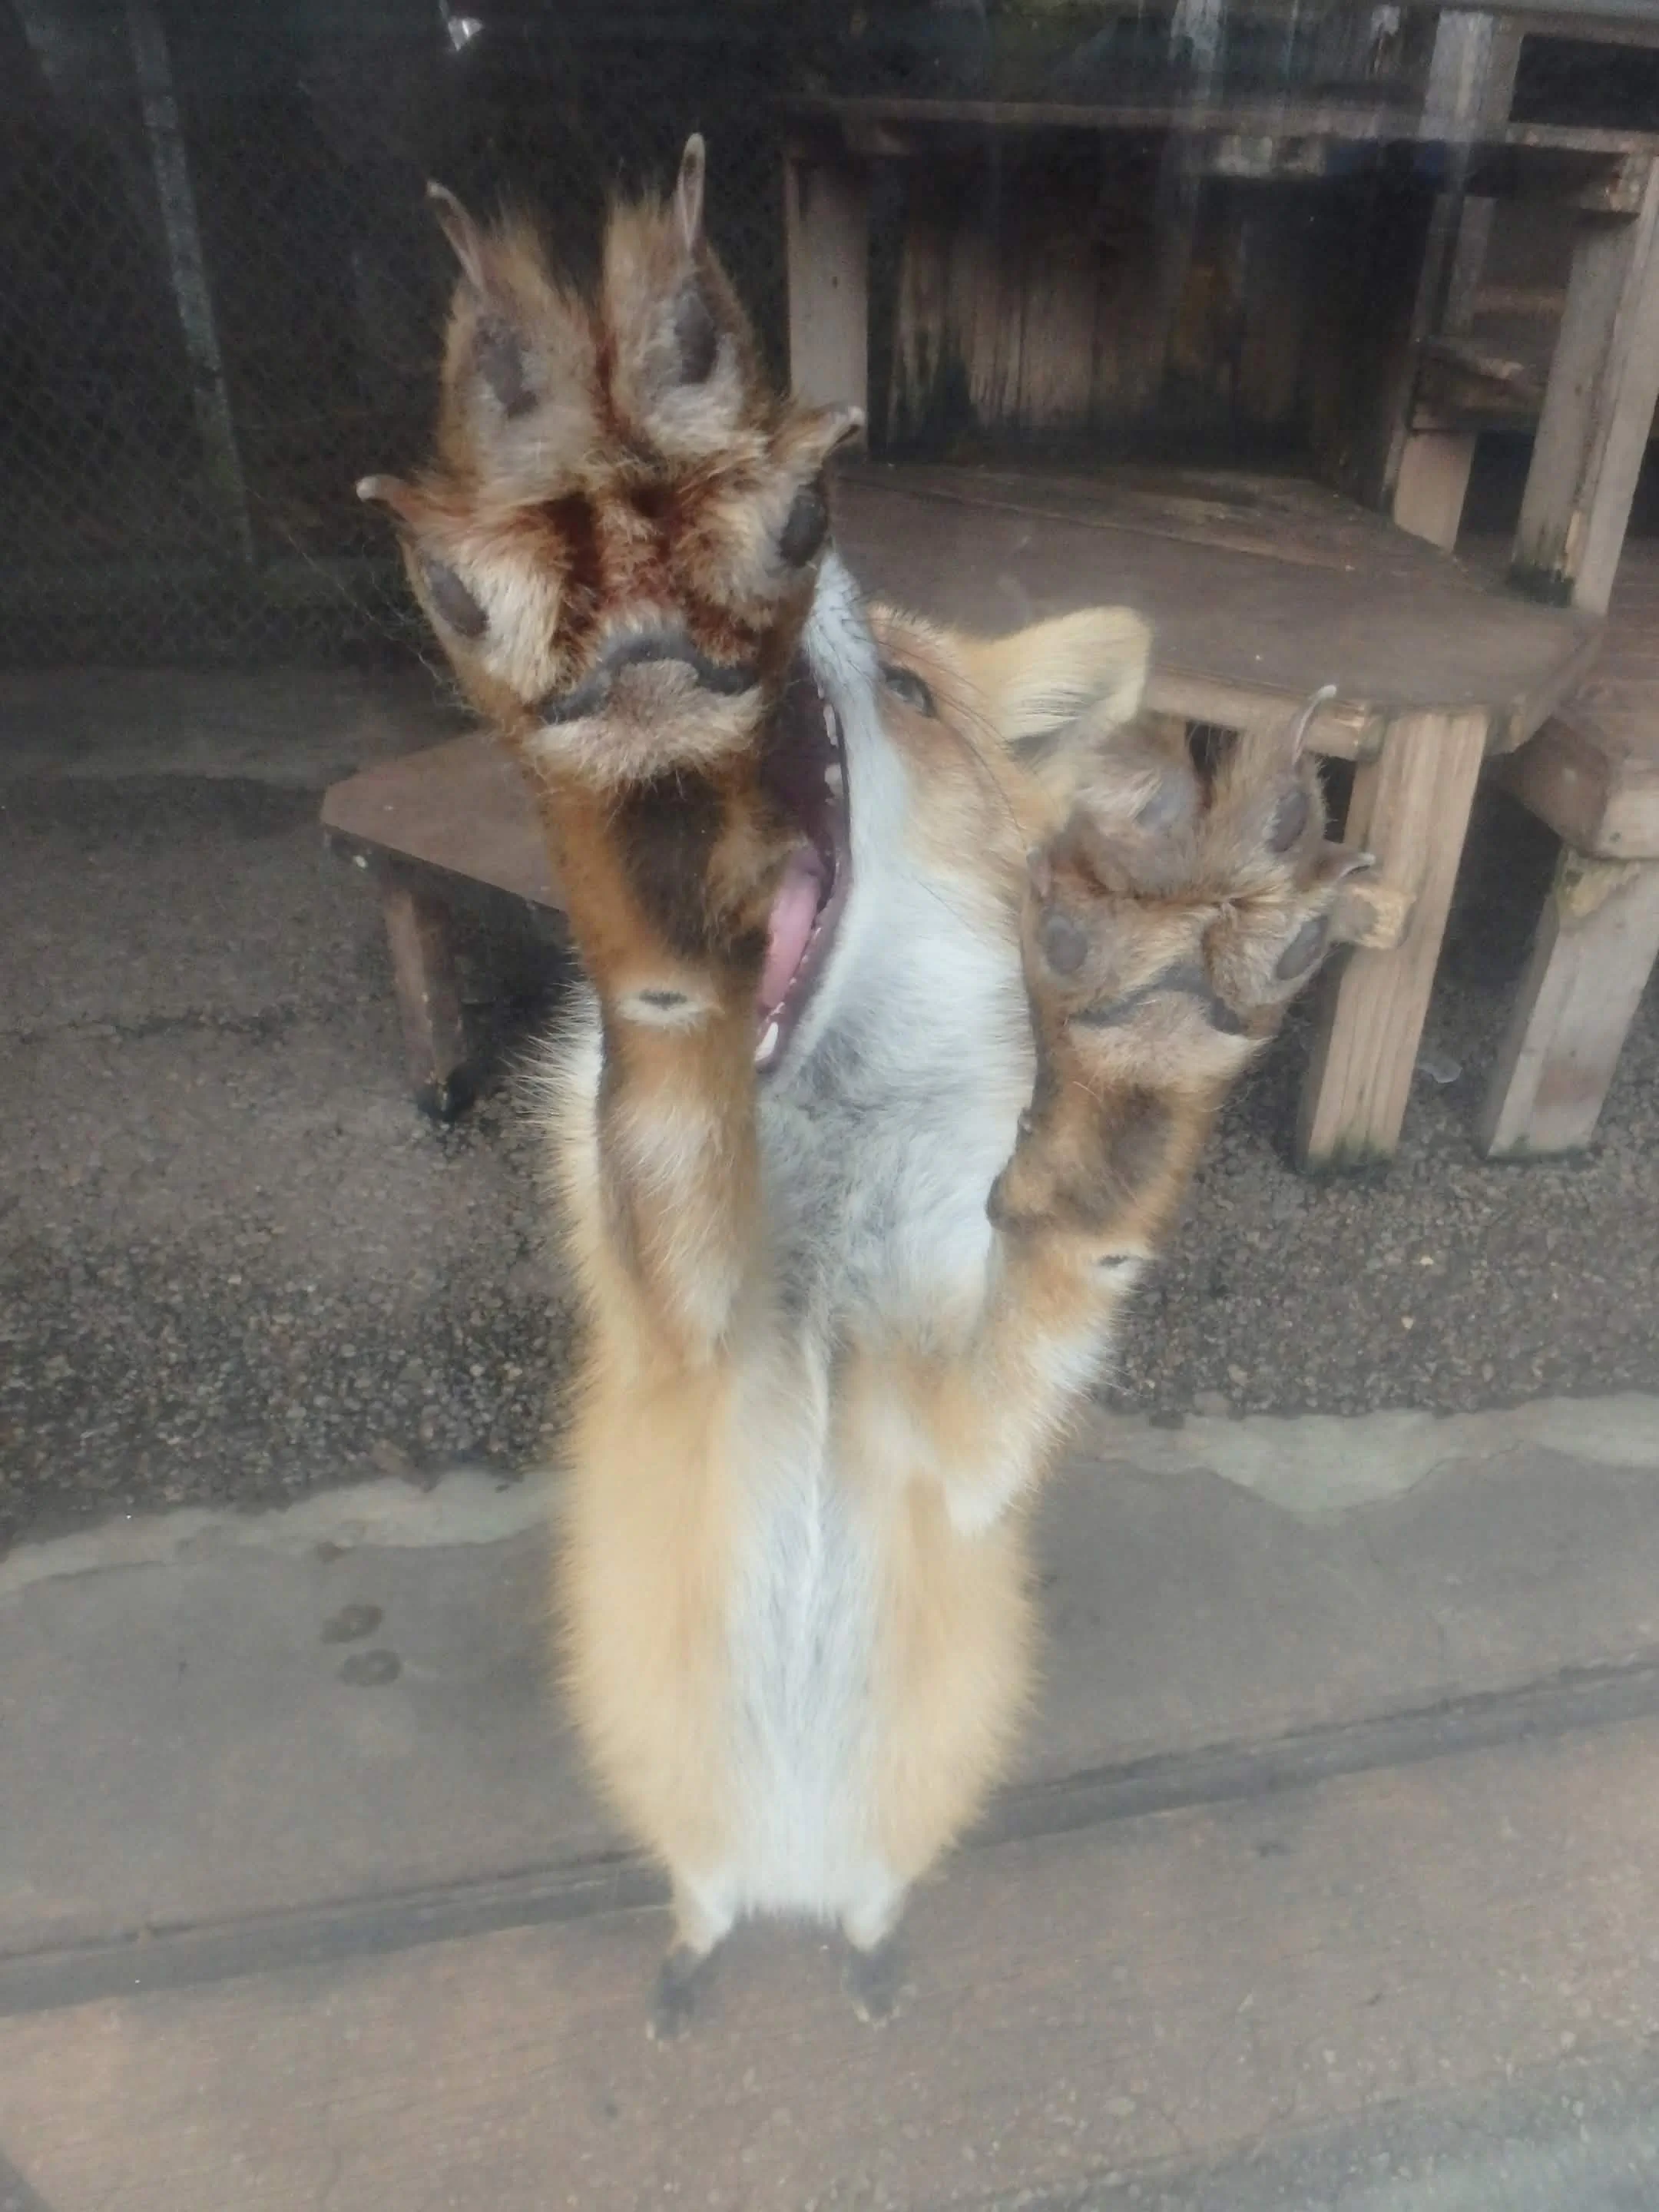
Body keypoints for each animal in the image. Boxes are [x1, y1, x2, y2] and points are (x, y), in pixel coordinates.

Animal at [358, 135, 1367, 2036]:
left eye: (908, 687)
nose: (820, 562)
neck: (818, 1251)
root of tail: (793, 1878)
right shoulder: (687, 1349)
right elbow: (669, 1089)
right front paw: (626, 665)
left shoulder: (957, 1455)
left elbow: (1064, 1257)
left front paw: (1143, 1042)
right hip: (696, 1831)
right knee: (703, 1898)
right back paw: (699, 1961)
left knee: (868, 1901)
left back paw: (868, 1956)